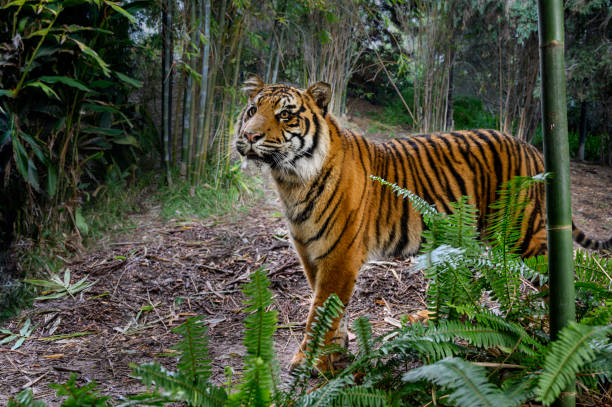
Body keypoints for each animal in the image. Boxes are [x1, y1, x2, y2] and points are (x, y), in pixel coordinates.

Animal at [234, 73, 612, 370]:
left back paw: (563, 331)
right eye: (252, 111)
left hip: (524, 234)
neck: (291, 180)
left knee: (556, 274)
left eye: (285, 114)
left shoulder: (339, 257)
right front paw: (335, 350)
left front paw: (308, 359)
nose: (250, 136)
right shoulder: (310, 253)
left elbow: (320, 311)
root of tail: (532, 148)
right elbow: (325, 306)